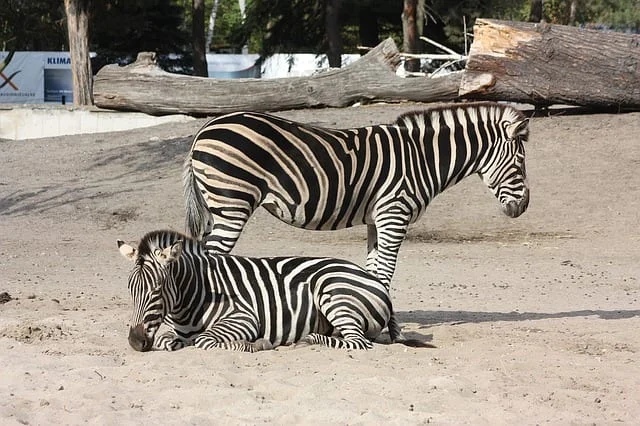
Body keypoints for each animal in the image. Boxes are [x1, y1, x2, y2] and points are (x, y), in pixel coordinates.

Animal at [118, 230, 429, 352]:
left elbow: (205, 340)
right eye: (130, 290)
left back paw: (308, 339)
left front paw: (256, 344)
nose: (135, 342)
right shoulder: (170, 330)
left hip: (333, 292)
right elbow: (166, 340)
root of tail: (375, 282)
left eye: (157, 290)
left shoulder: (243, 318)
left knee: (358, 342)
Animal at [183, 102, 530, 339]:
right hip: (233, 203)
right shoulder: (394, 213)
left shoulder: (377, 220)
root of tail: (204, 130)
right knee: (209, 259)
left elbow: (375, 273)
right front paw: (393, 332)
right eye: (520, 162)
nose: (524, 207)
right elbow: (386, 273)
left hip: (220, 206)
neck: (422, 158)